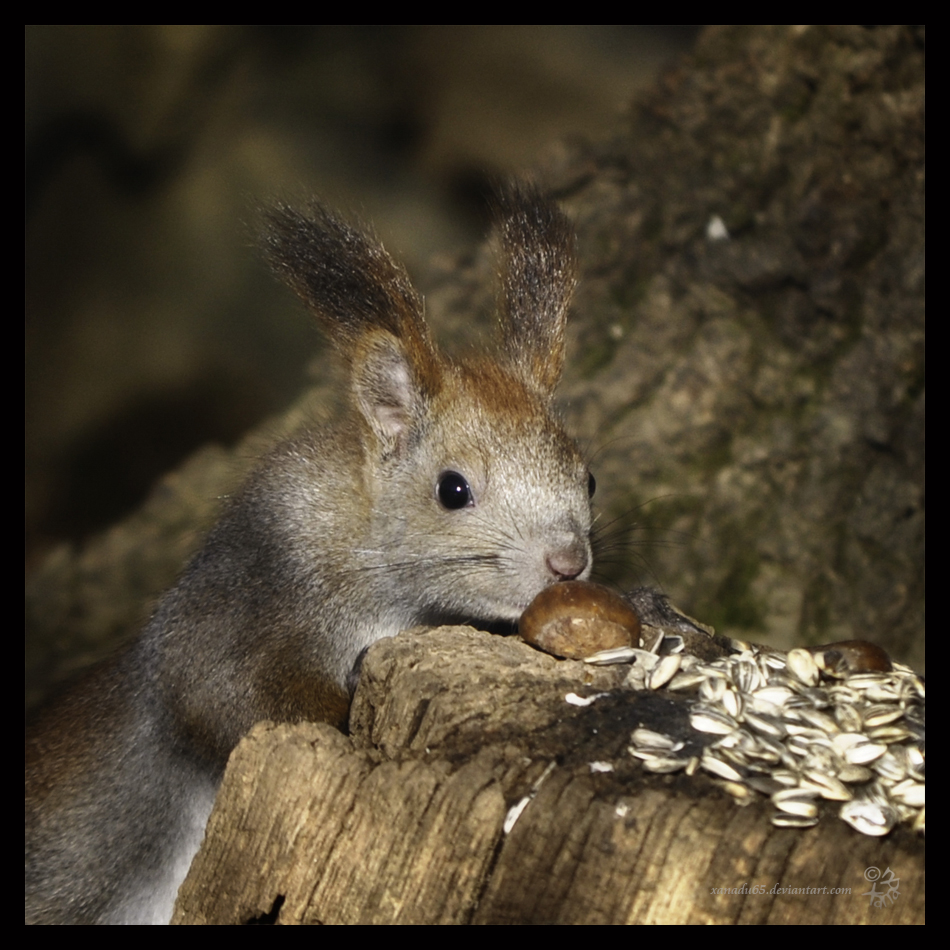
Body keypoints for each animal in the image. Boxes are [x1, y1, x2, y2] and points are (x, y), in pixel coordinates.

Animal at [24, 182, 596, 924]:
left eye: (590, 478)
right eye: (453, 489)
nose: (569, 563)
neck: (368, 551)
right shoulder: (241, 596)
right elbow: (222, 694)